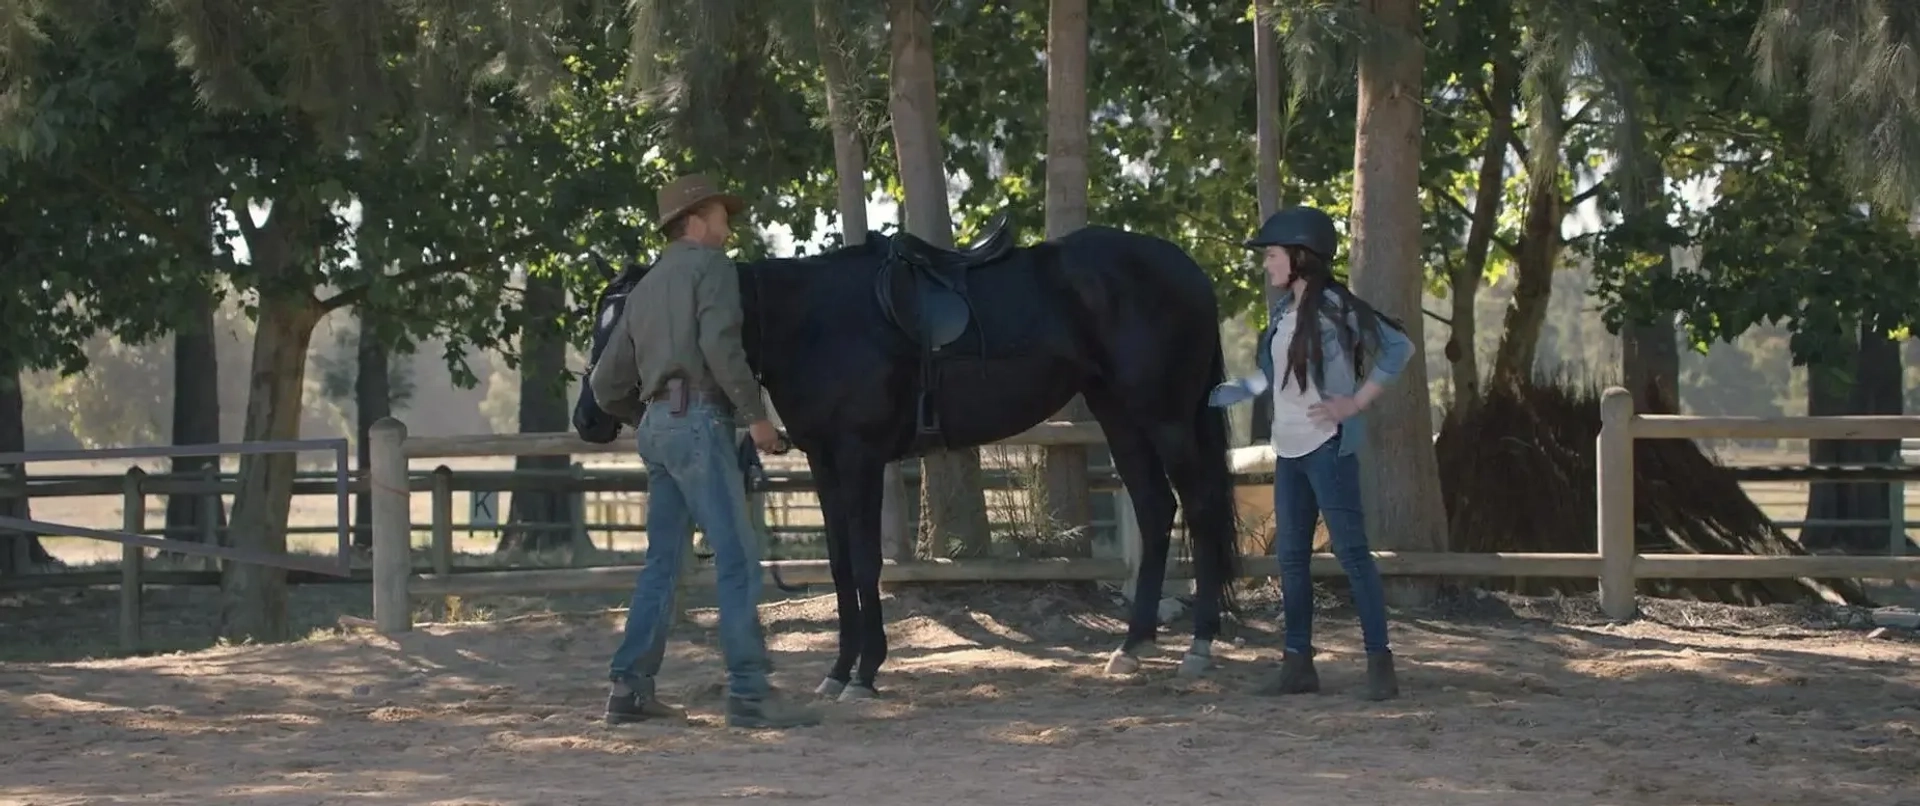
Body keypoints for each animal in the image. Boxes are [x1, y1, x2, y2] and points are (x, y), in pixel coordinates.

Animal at [568, 218, 1244, 698]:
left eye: (624, 323)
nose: (588, 418)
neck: (811, 322)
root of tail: (1188, 270)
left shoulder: (861, 459)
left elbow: (867, 564)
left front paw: (866, 674)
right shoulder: (825, 466)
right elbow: (841, 566)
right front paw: (839, 670)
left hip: (1164, 416)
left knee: (1201, 508)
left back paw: (1199, 646)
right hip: (1119, 415)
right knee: (1156, 510)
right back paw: (1131, 647)